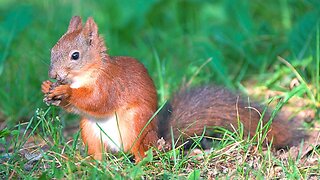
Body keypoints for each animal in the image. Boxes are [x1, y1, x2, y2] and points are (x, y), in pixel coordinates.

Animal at [42, 15, 302, 162]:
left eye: (75, 56)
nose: (53, 75)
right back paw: (89, 163)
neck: (88, 73)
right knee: (100, 154)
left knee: (142, 152)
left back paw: (142, 161)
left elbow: (97, 101)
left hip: (137, 124)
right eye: (52, 50)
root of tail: (160, 140)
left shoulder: (111, 84)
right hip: (90, 130)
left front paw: (65, 93)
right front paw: (48, 88)